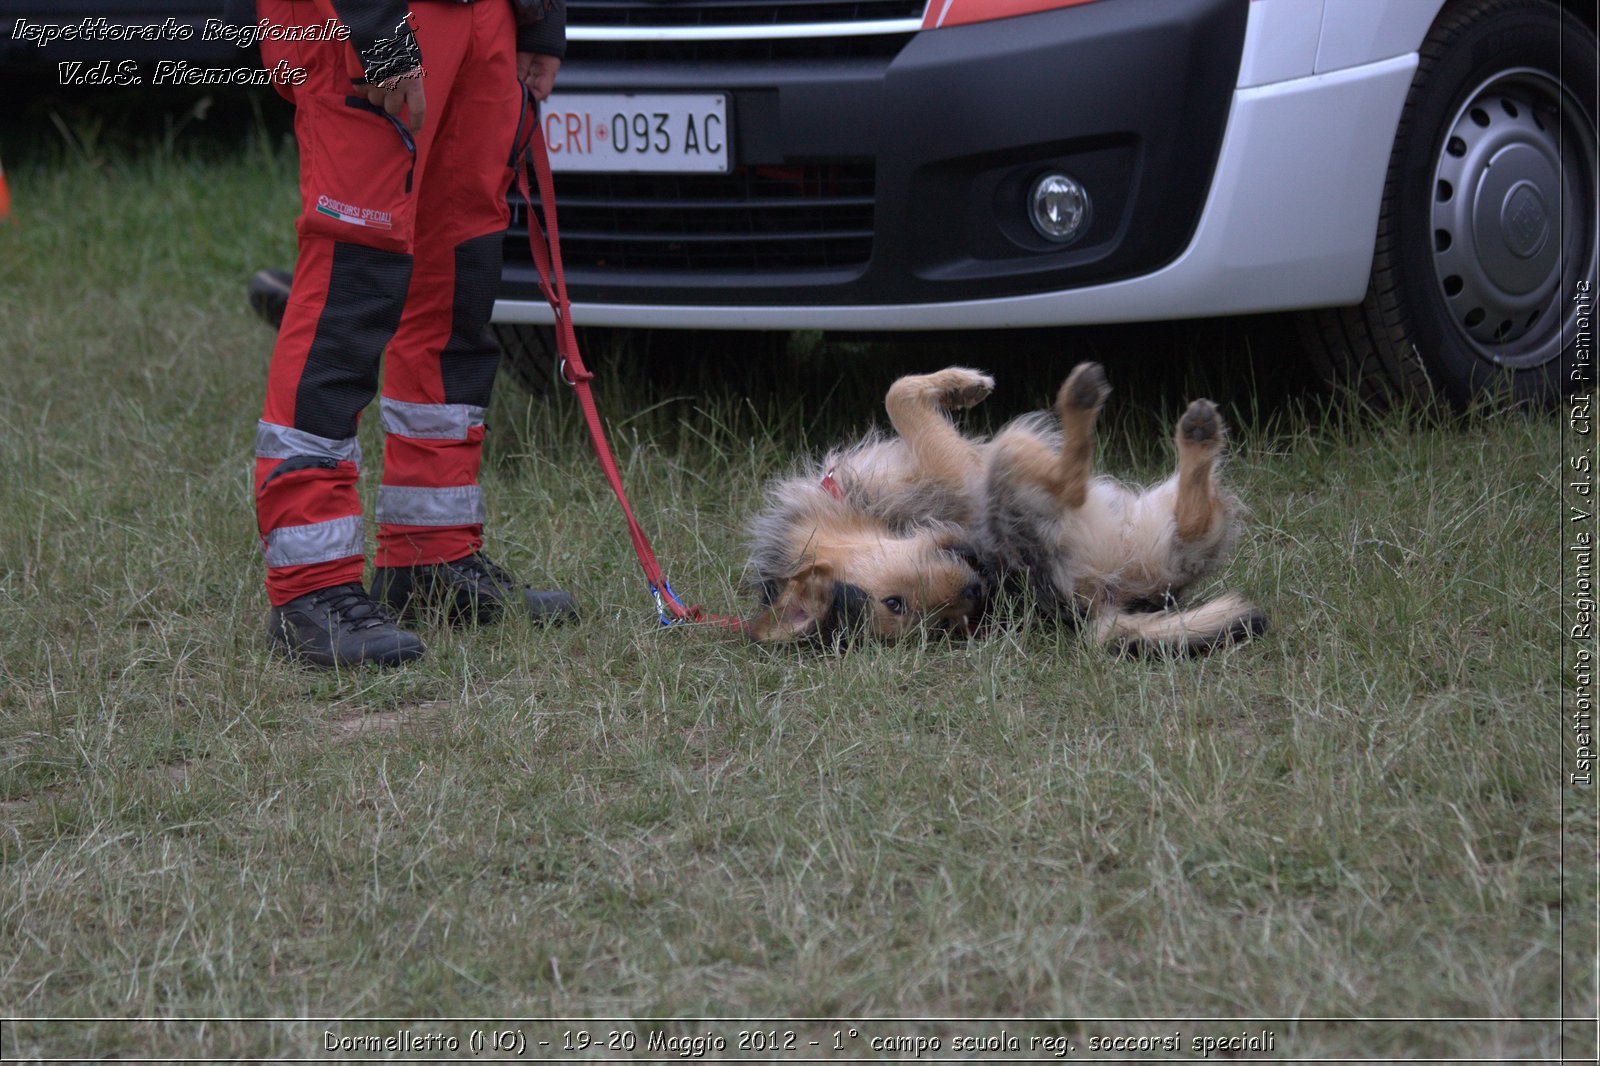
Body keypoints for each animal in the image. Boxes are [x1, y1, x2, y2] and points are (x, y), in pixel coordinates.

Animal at [742, 361, 1267, 653]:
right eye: (897, 605)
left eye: (945, 626)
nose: (978, 591)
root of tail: (1097, 603)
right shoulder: (957, 463)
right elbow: (899, 395)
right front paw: (961, 384)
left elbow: (898, 390)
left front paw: (961, 385)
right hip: (1012, 457)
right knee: (1073, 478)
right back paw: (1092, 403)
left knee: (1196, 519)